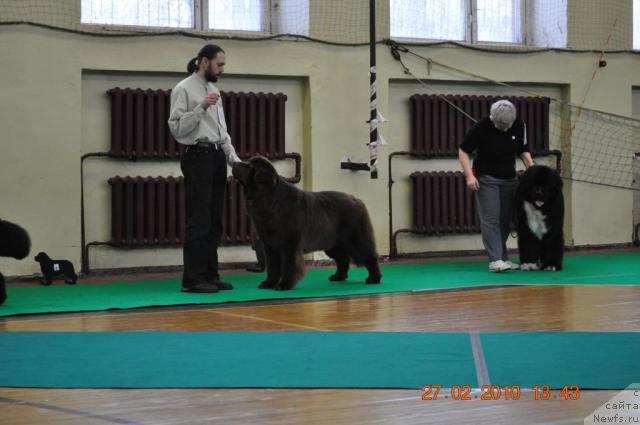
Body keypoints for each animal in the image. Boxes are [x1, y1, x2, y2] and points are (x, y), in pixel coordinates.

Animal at [231, 157, 380, 290]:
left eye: (249, 166)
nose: (234, 163)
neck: (269, 199)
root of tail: (357, 200)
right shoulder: (270, 245)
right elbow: (273, 267)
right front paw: (268, 283)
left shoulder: (289, 243)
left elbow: (289, 264)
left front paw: (285, 285)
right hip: (333, 244)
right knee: (342, 259)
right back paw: (338, 277)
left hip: (356, 239)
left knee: (369, 256)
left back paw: (374, 278)